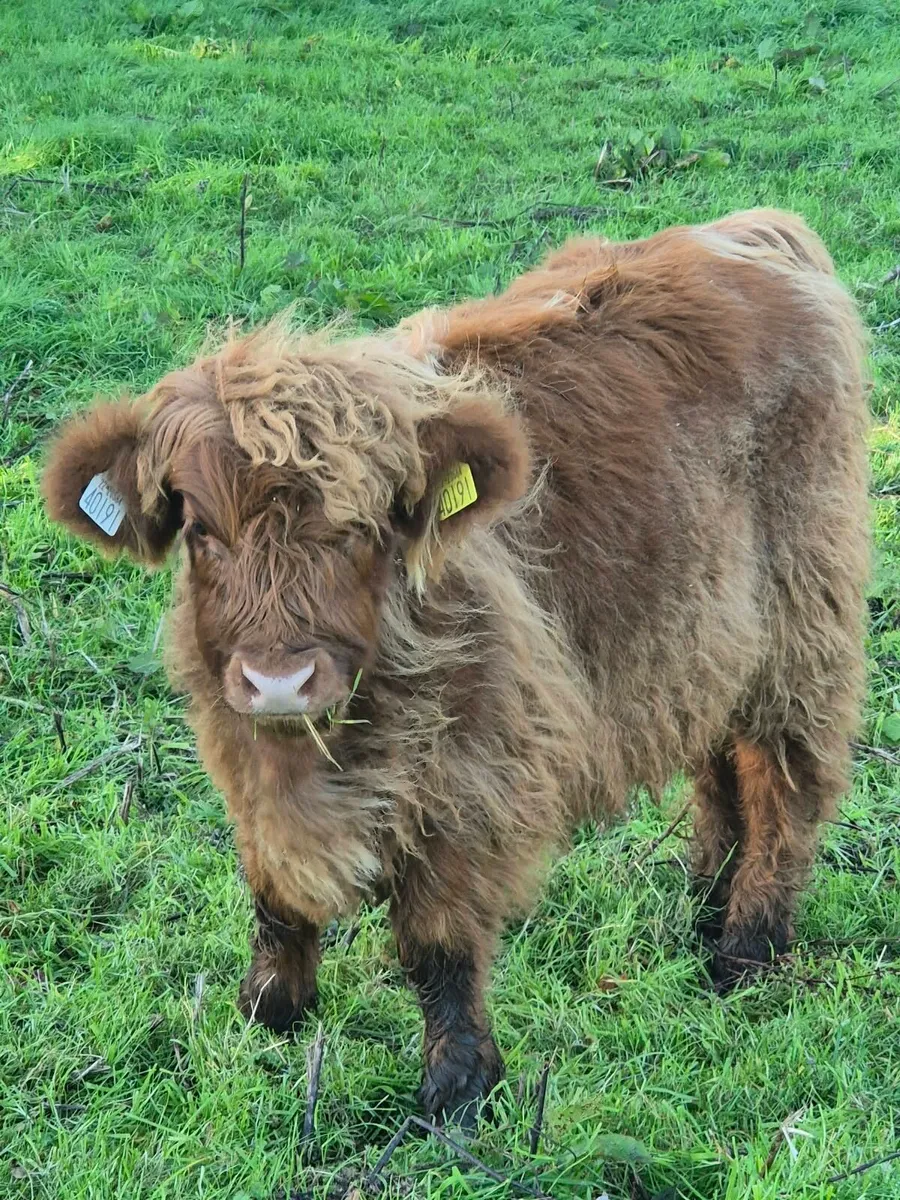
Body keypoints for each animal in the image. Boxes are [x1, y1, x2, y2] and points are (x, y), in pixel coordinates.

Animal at [43, 209, 869, 1123]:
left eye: (361, 528)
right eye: (198, 528)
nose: (280, 681)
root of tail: (752, 228)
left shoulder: (473, 773)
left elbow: (435, 941)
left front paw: (457, 1086)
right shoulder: (240, 746)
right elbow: (273, 891)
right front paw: (271, 1008)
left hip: (801, 622)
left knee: (784, 777)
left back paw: (747, 947)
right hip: (705, 635)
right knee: (720, 760)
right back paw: (701, 905)